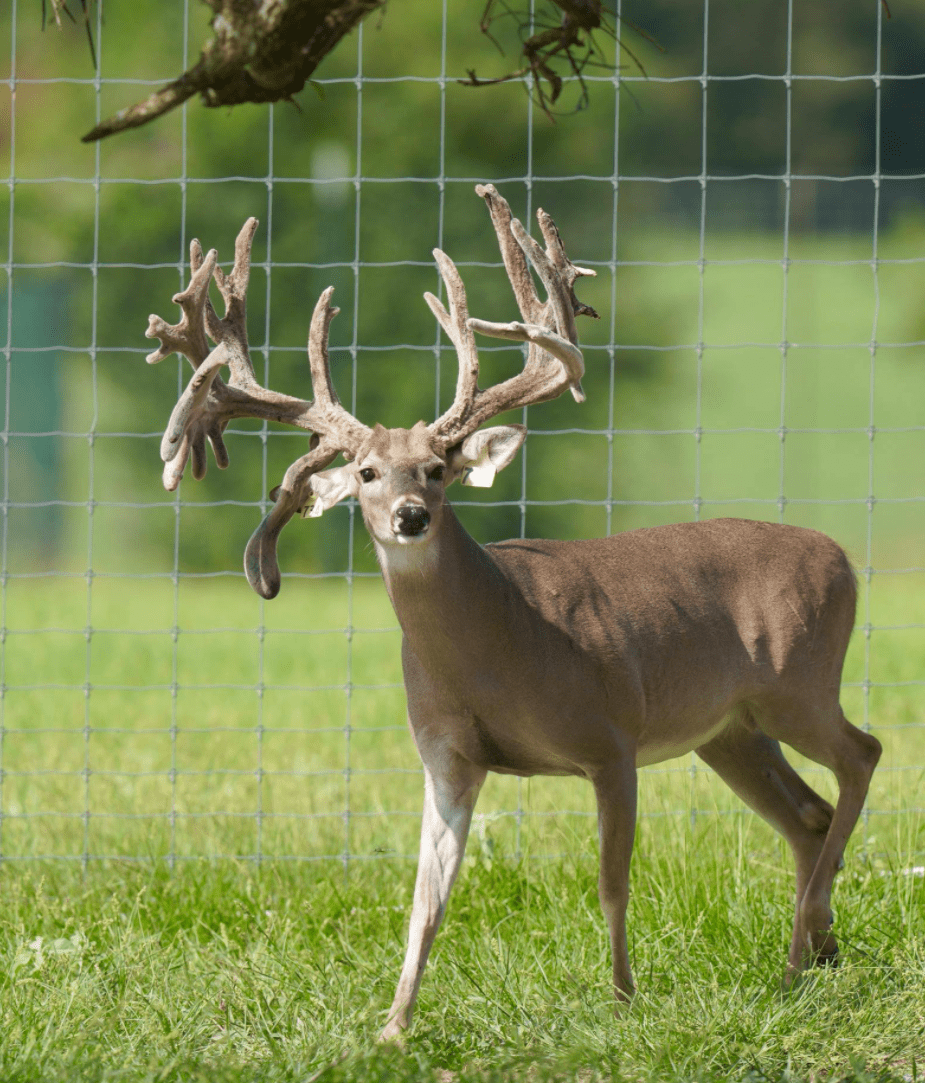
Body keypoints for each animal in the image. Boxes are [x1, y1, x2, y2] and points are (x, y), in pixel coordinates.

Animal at [145, 184, 881, 1042]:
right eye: (365, 472)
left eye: (436, 468)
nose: (408, 516)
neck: (503, 648)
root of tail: (841, 557)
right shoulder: (447, 756)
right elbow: (425, 900)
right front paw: (391, 1024)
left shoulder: (611, 736)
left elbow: (611, 882)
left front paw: (622, 1000)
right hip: (728, 729)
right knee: (807, 811)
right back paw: (803, 961)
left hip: (798, 679)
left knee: (861, 754)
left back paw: (811, 934)